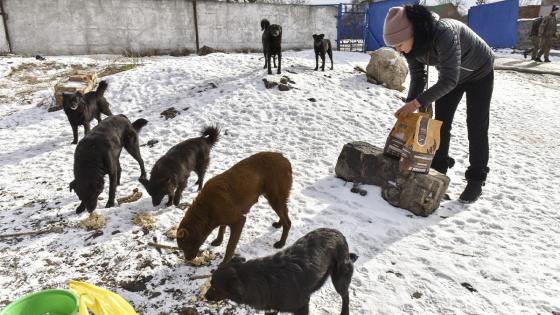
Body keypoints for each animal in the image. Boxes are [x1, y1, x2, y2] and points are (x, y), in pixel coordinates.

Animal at [206, 228, 358, 314]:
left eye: (215, 287)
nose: (205, 297)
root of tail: (339, 234)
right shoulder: (272, 307)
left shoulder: (302, 306)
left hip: (339, 277)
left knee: (345, 295)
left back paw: (345, 312)